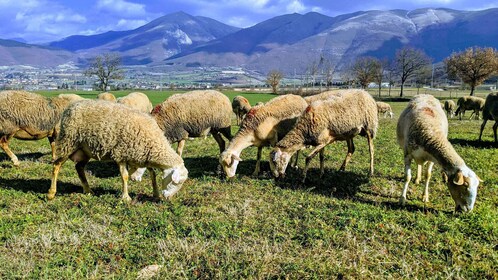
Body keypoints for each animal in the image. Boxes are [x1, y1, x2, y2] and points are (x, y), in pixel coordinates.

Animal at [47, 100, 188, 201]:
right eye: (175, 182)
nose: (168, 198)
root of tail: (71, 107)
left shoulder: (143, 156)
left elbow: (153, 174)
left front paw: (156, 194)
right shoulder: (120, 153)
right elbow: (124, 176)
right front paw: (125, 197)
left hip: (85, 149)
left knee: (79, 167)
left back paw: (88, 190)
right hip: (68, 142)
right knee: (57, 165)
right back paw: (51, 193)